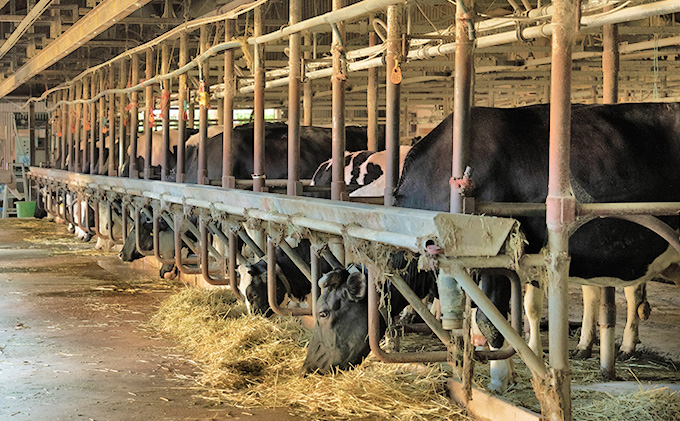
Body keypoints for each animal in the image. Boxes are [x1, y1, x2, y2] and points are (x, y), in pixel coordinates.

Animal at [302, 102, 680, 390]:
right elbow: (498, 314)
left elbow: (490, 318)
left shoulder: (494, 258)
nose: (308, 367)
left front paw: (499, 378)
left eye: (324, 313)